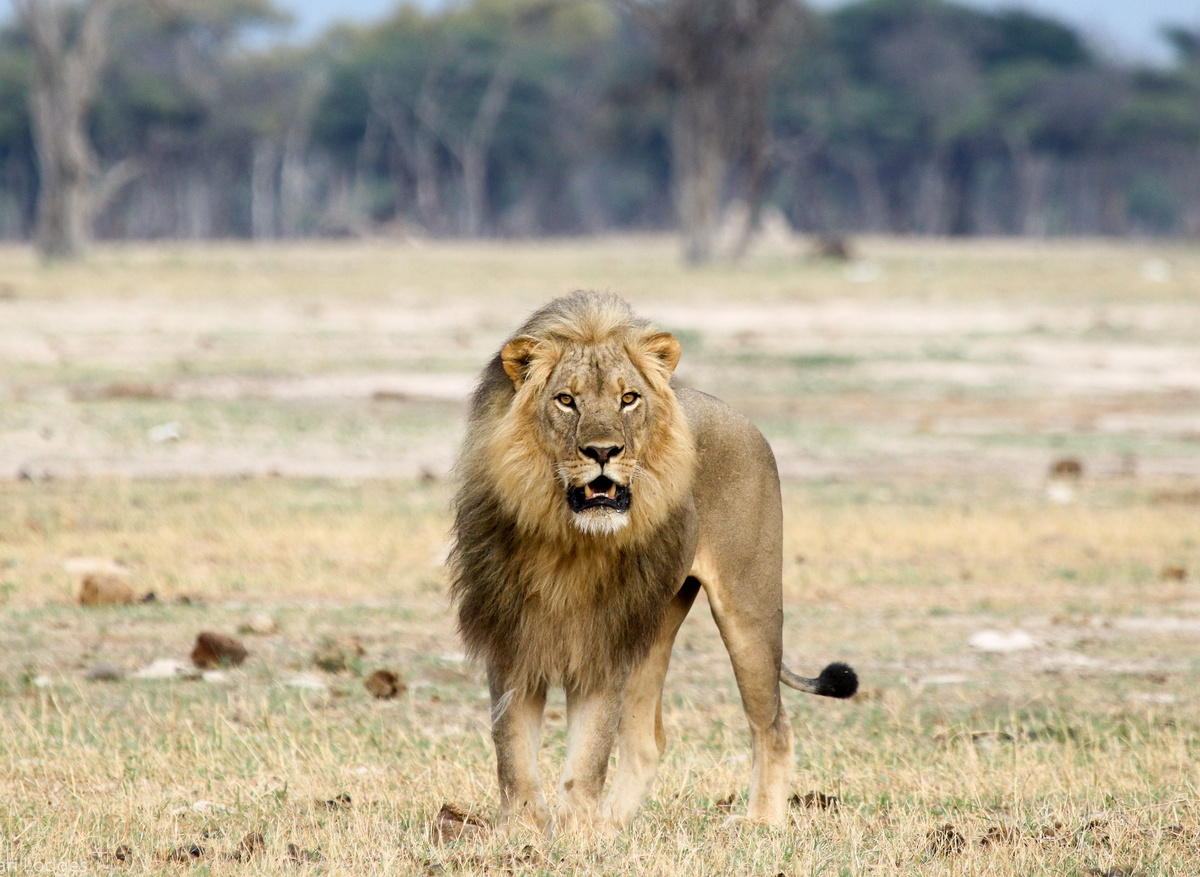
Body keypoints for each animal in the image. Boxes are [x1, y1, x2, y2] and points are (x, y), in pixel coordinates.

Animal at [448, 291, 856, 834]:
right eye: (566, 400)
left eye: (628, 399)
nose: (603, 451)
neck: (567, 538)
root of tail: (732, 412)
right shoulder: (512, 638)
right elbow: (512, 753)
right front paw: (525, 833)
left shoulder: (603, 644)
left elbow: (588, 754)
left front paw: (576, 836)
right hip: (654, 622)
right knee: (646, 742)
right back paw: (614, 825)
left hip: (748, 608)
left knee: (773, 725)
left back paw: (760, 824)